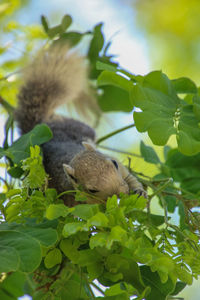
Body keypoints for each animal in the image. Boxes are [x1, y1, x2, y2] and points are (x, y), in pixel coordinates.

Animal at [13, 44, 145, 206]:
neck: (74, 155)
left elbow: (130, 177)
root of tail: (40, 125)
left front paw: (139, 191)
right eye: (92, 190)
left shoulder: (121, 167)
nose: (123, 192)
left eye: (114, 163)